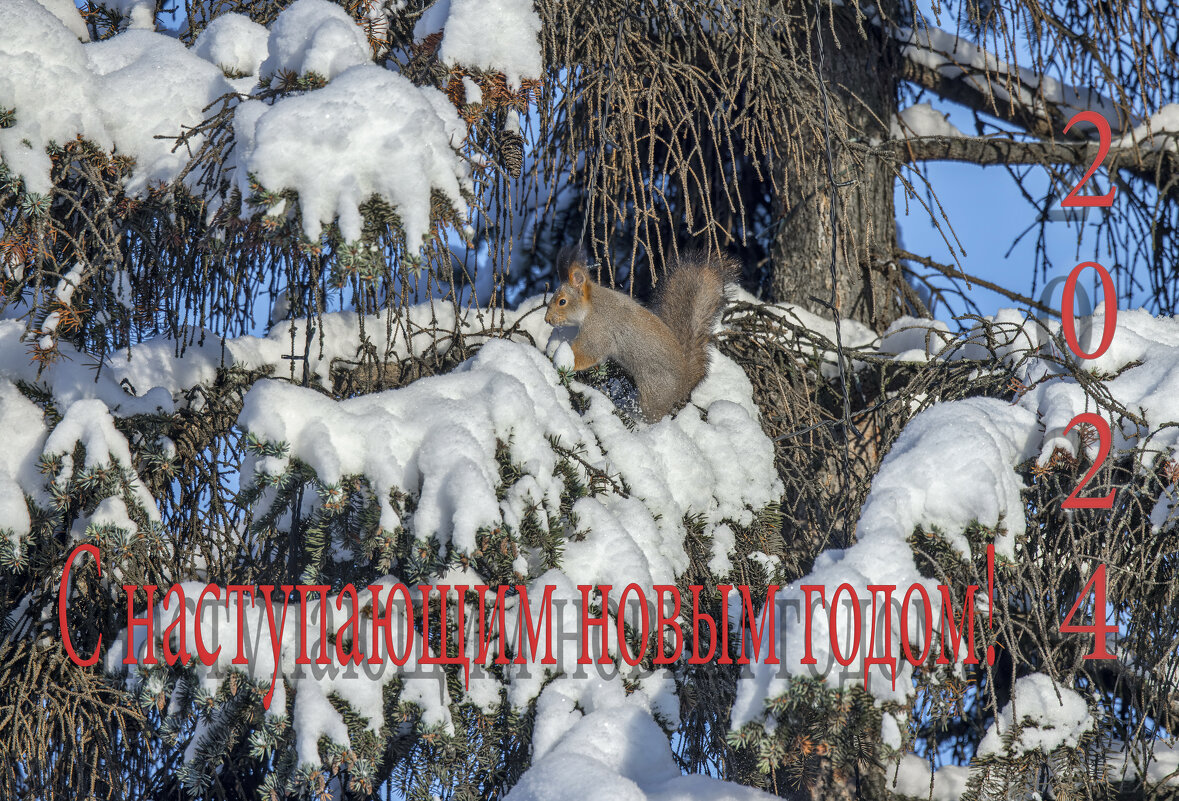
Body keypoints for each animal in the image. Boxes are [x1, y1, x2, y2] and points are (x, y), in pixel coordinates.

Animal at [544, 250, 735, 422]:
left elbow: (588, 353)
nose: (547, 319)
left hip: (655, 392)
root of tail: (684, 383)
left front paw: (559, 360)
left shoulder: (598, 329)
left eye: (562, 301)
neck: (593, 305)